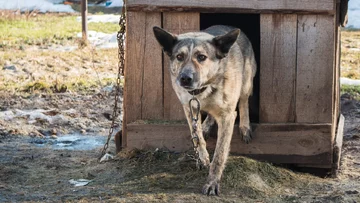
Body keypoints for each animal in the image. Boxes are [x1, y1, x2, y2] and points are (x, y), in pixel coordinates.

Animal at [152, 25, 256, 195]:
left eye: (201, 57)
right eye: (179, 56)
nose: (185, 78)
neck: (202, 90)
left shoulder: (227, 116)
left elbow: (220, 154)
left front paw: (212, 182)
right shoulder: (189, 108)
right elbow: (198, 137)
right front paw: (203, 158)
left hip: (246, 83)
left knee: (244, 101)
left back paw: (245, 127)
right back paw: (207, 125)